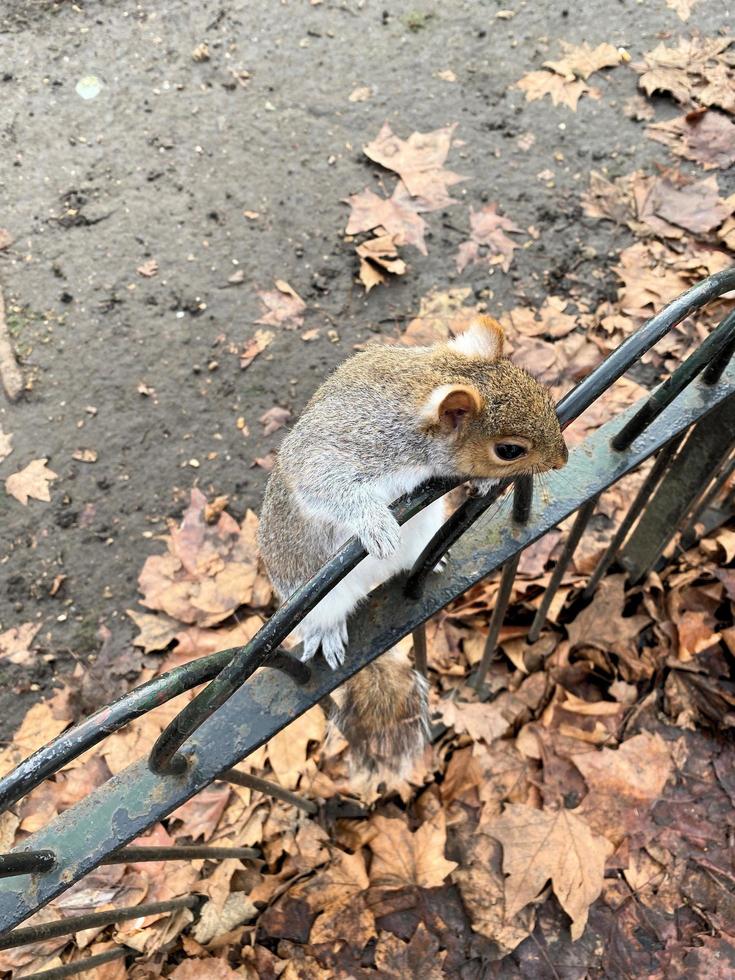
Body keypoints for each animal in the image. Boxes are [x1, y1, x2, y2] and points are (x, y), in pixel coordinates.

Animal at [258, 318, 568, 776]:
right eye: (509, 450)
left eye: (542, 393)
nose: (562, 459)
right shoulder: (342, 447)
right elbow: (324, 485)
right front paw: (375, 523)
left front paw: (483, 482)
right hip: (316, 593)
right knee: (326, 613)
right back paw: (327, 629)